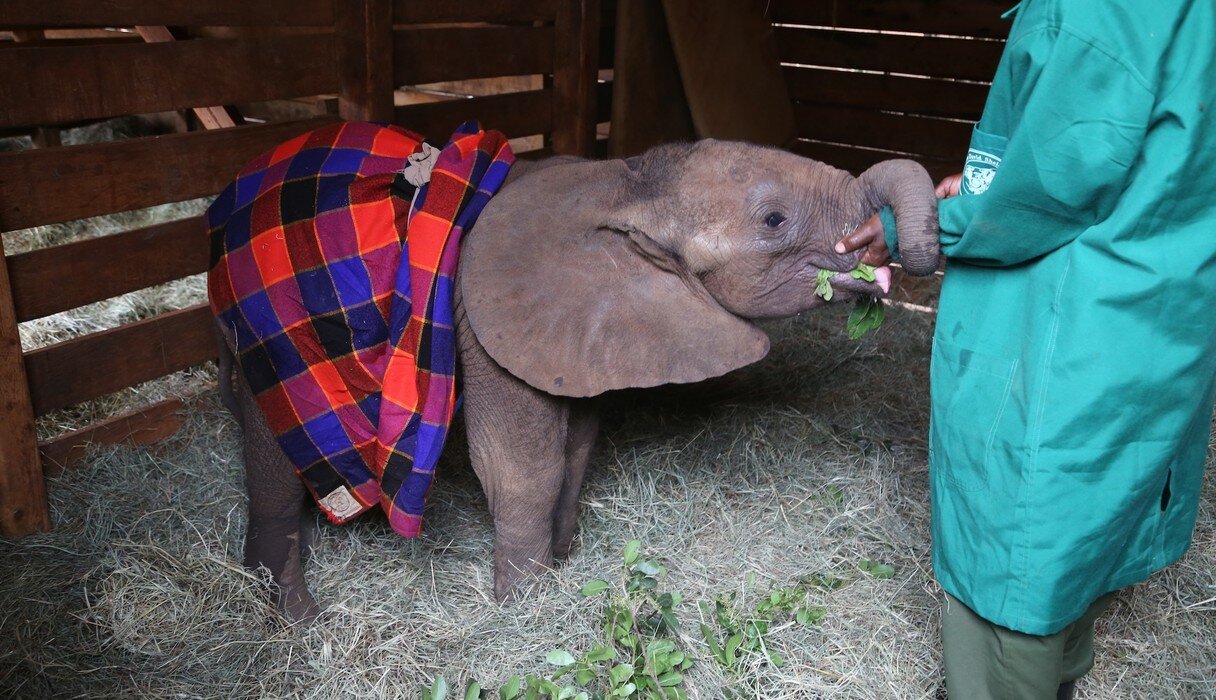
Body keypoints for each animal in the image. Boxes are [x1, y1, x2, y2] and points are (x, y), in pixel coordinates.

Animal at [213, 138, 940, 622]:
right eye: (773, 221)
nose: (881, 251)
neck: (618, 181)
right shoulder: (483, 319)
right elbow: (518, 461)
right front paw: (526, 608)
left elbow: (578, 443)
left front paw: (559, 567)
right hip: (273, 325)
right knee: (276, 449)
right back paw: (296, 616)